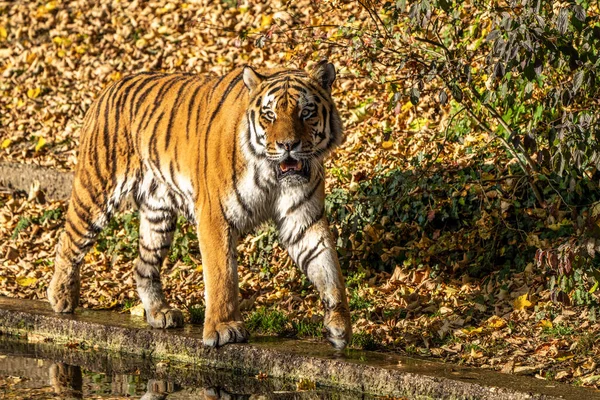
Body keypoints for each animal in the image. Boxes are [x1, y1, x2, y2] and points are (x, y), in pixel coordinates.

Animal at [49, 58, 354, 346]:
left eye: (306, 112)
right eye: (269, 115)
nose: (287, 145)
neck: (272, 175)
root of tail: (110, 86)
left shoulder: (303, 219)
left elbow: (328, 268)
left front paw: (340, 325)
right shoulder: (215, 216)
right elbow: (222, 276)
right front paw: (223, 329)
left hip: (158, 214)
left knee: (143, 266)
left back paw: (160, 313)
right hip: (96, 190)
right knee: (69, 240)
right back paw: (60, 297)